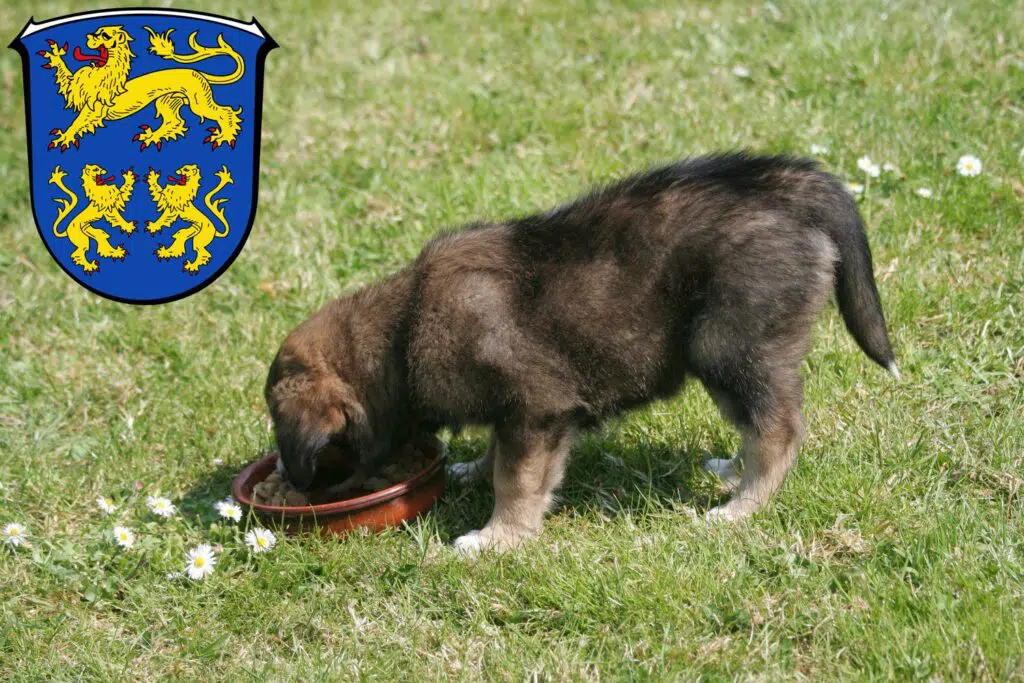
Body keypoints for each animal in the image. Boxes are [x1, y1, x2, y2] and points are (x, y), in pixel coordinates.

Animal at [264, 152, 897, 552]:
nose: (294, 489)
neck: (402, 330)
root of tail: (789, 188)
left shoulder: (536, 408)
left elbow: (517, 479)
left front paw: (498, 538)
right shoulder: (517, 414)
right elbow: (498, 455)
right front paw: (473, 472)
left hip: (731, 345)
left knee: (779, 429)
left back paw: (742, 507)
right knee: (756, 422)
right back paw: (732, 472)